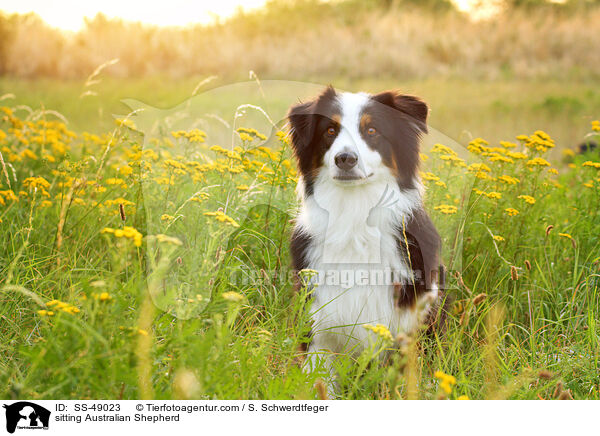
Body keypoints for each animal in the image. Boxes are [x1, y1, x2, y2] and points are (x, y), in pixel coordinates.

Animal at [286, 85, 446, 388]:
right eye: (330, 130)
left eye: (371, 130)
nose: (345, 159)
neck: (355, 217)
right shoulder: (319, 323)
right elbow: (320, 380)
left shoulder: (408, 321)